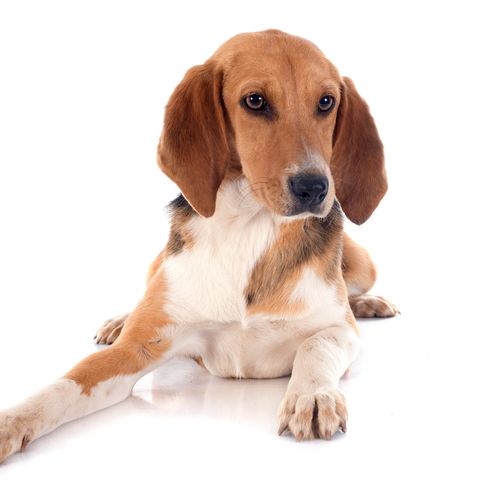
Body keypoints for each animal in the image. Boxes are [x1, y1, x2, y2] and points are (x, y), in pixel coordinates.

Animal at [0, 28, 398, 462]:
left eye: (326, 102)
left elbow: (316, 346)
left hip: (364, 262)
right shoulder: (134, 351)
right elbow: (66, 383)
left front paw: (312, 397)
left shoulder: (340, 331)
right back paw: (119, 320)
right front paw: (13, 420)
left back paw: (369, 303)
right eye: (255, 101)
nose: (314, 187)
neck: (249, 229)